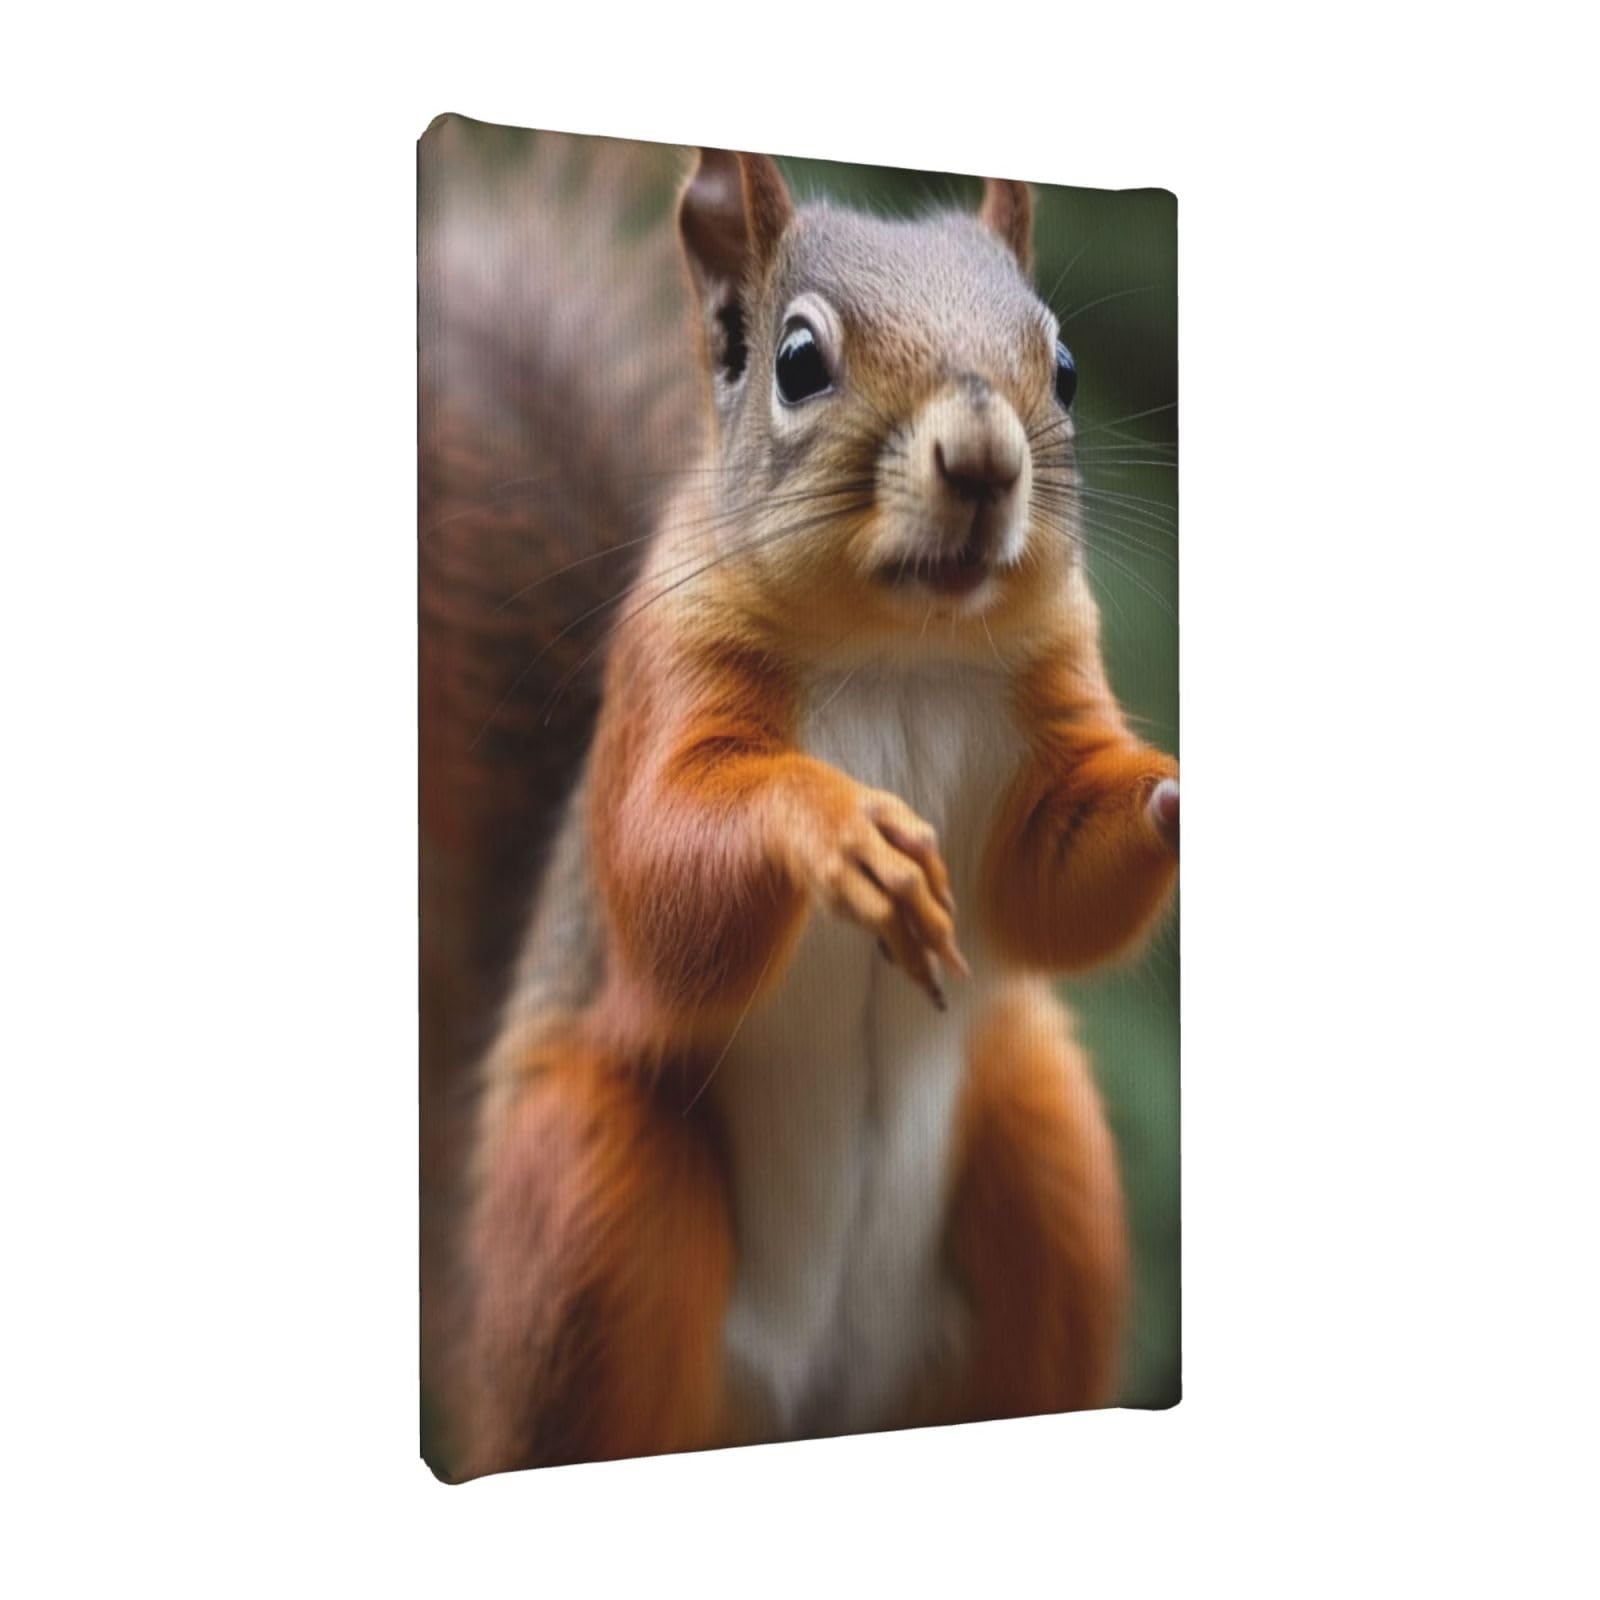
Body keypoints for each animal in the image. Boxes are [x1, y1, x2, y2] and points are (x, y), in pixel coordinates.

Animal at [419, 122, 1178, 1479]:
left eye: (1065, 367)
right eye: (798, 359)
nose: (984, 461)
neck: (900, 650)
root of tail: (812, 1398)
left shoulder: (1047, 719)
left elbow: (1054, 880)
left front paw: (1177, 793)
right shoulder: (665, 684)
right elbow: (665, 875)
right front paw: (839, 829)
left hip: (1045, 1152)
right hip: (599, 1197)